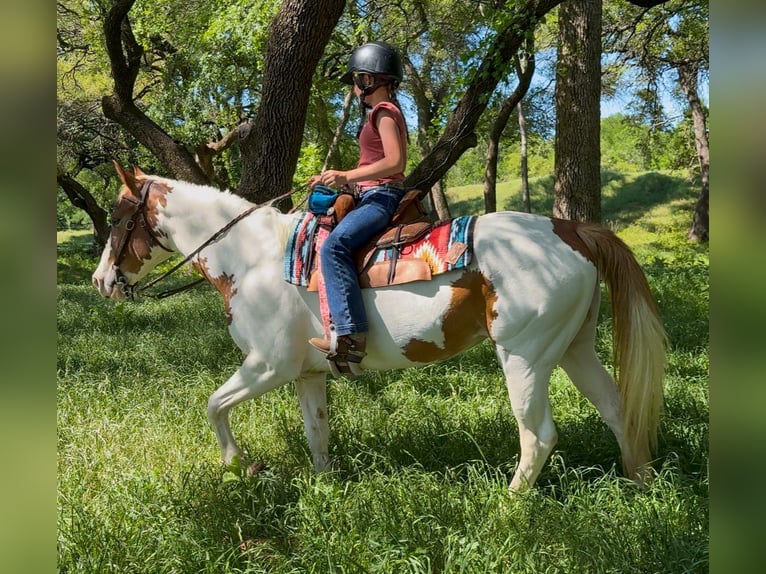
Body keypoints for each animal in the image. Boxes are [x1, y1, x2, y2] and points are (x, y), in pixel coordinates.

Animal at [92, 163, 666, 493]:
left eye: (118, 219)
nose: (102, 281)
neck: (251, 258)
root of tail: (571, 229)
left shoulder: (268, 366)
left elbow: (214, 405)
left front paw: (240, 467)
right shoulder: (307, 373)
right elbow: (317, 431)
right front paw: (325, 488)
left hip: (525, 357)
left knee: (539, 436)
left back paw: (508, 506)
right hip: (574, 349)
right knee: (618, 410)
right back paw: (640, 483)